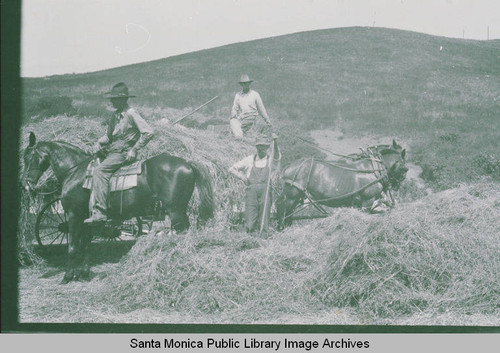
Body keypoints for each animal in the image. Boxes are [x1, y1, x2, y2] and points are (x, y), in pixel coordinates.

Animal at [22, 132, 214, 284]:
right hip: (179, 211)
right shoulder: (86, 218)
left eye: (27, 157)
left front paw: (68, 276)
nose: (27, 184)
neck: (76, 172)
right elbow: (85, 246)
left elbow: (73, 247)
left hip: (175, 211)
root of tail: (187, 163)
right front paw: (83, 274)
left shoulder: (73, 215)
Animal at [276, 139, 408, 230]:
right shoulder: (367, 201)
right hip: (290, 198)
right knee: (282, 216)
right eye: (405, 168)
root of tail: (289, 167)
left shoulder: (357, 204)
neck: (373, 169)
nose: (397, 185)